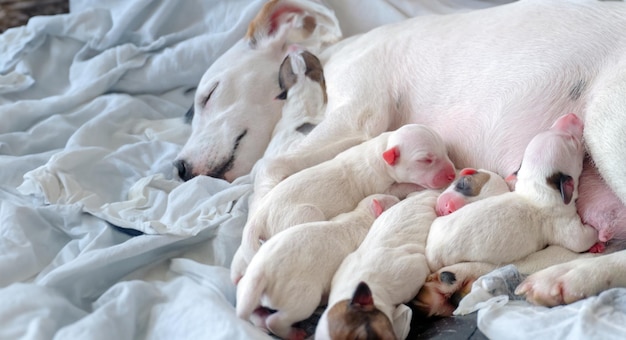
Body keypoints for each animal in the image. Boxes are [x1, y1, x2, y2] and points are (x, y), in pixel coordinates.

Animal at [229, 123, 454, 282]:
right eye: (425, 160)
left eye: (445, 150)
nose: (452, 174)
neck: (383, 149)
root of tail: (259, 217)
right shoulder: (377, 184)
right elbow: (399, 188)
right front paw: (416, 186)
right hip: (299, 215)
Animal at [236, 194, 398, 340]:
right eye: (395, 201)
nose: (399, 198)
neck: (362, 214)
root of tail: (261, 272)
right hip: (301, 295)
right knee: (277, 320)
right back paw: (293, 333)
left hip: (249, 288)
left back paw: (260, 317)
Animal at [426, 113, 596, 272]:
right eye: (573, 141)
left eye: (548, 128)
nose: (572, 115)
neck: (534, 187)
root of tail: (431, 254)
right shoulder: (561, 222)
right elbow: (579, 240)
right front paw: (597, 234)